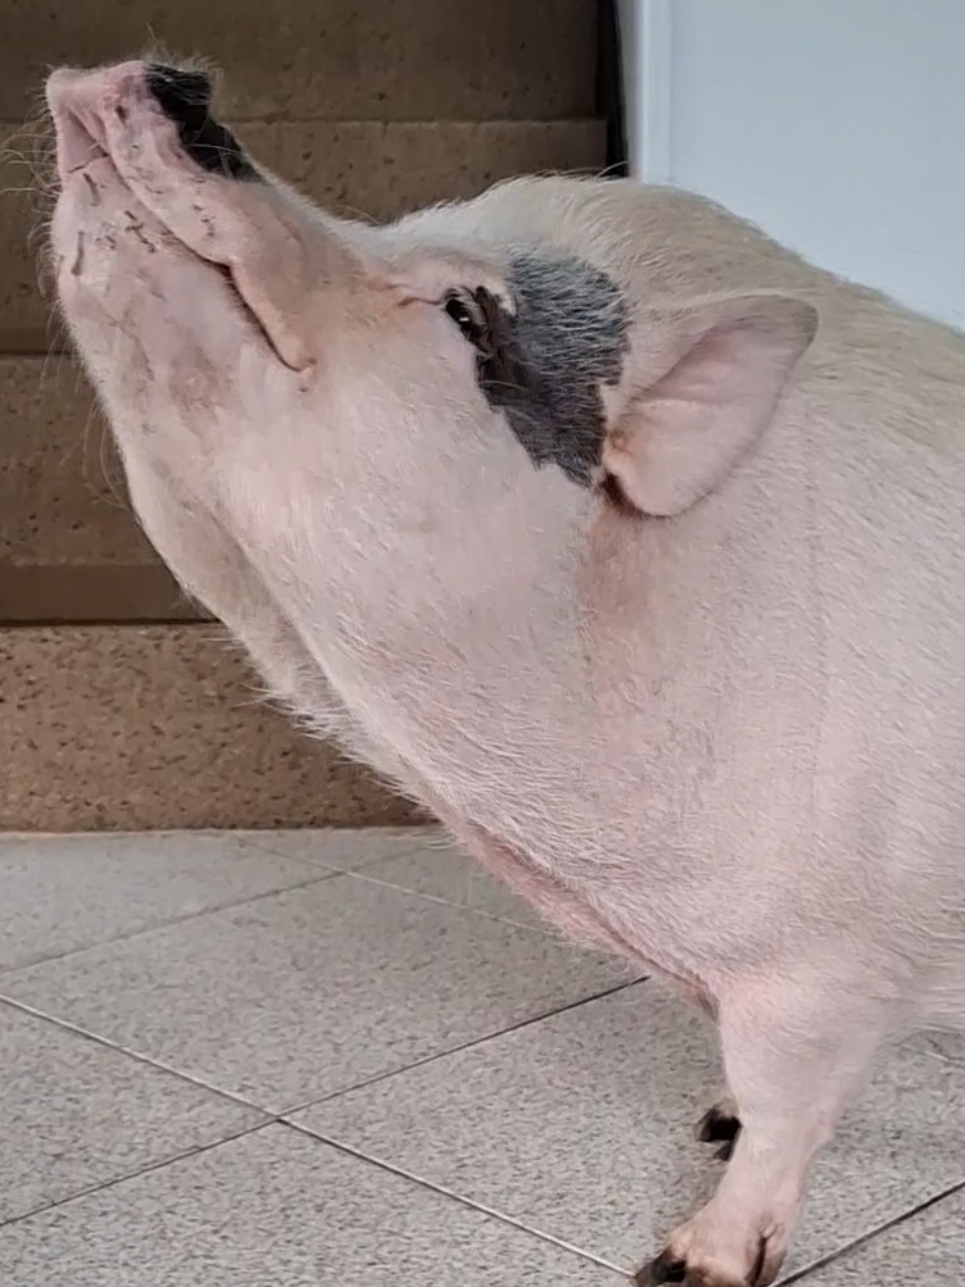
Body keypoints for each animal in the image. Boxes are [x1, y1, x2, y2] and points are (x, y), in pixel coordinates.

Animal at [44, 58, 965, 1287]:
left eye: (465, 314)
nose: (169, 77)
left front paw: (685, 1263)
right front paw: (707, 1120)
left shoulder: (824, 957)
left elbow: (782, 1107)